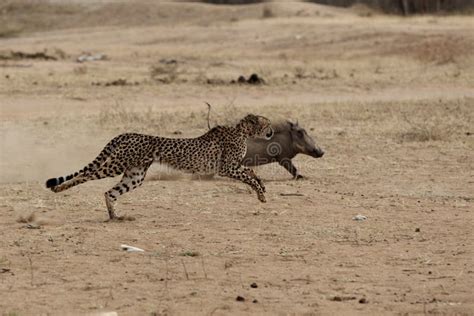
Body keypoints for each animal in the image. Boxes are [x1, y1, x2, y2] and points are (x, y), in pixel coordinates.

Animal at [46, 113, 274, 220]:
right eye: (267, 123)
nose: (271, 132)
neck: (243, 133)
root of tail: (128, 133)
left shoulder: (233, 167)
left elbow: (252, 172)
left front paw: (262, 190)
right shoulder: (226, 168)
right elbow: (249, 176)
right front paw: (261, 194)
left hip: (135, 175)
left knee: (109, 192)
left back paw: (115, 217)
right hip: (116, 165)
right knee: (86, 174)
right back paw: (59, 188)